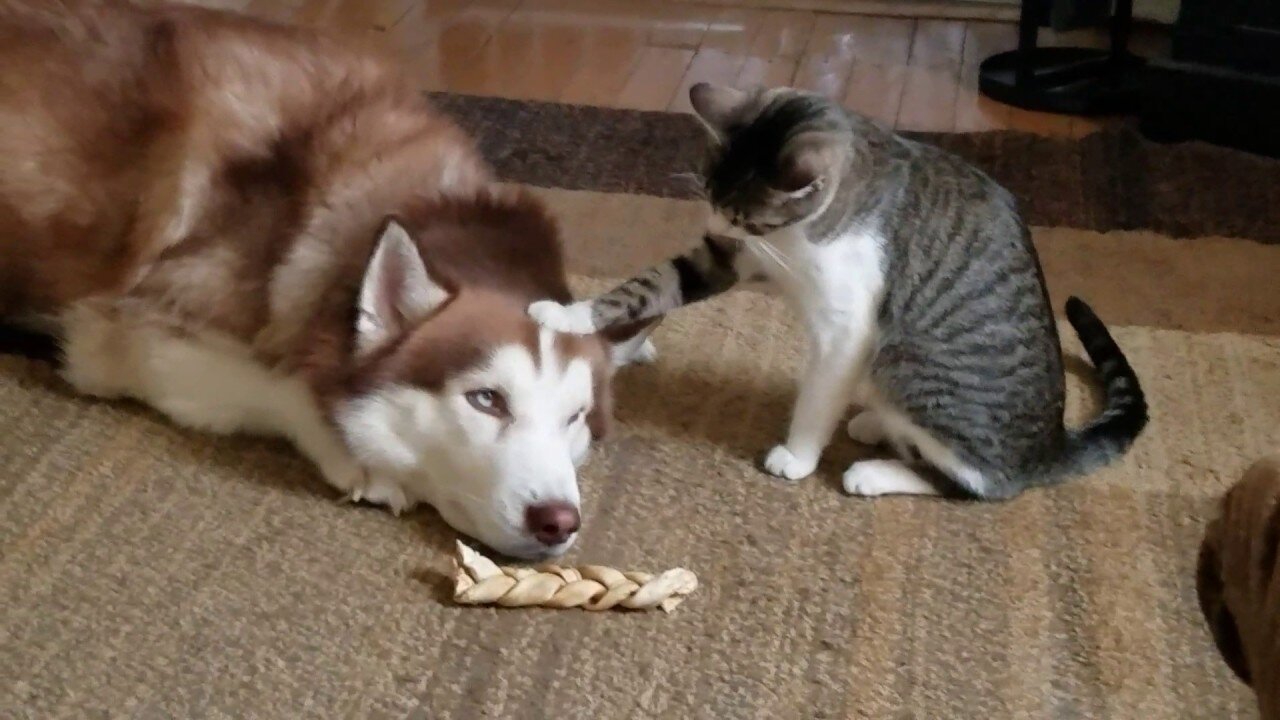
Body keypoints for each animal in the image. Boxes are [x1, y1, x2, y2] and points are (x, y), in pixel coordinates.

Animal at [0, 0, 655, 556]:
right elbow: (279, 387)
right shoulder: (123, 332)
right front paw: (361, 453)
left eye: (575, 417)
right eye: (486, 400)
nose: (558, 521)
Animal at [524, 82, 1146, 499]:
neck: (794, 238)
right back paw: (878, 424)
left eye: (746, 215)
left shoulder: (847, 329)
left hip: (907, 361)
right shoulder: (722, 260)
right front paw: (565, 315)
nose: (719, 225)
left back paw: (875, 471)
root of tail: (1051, 447)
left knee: (975, 482)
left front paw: (797, 457)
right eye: (710, 197)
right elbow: (645, 287)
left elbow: (818, 397)